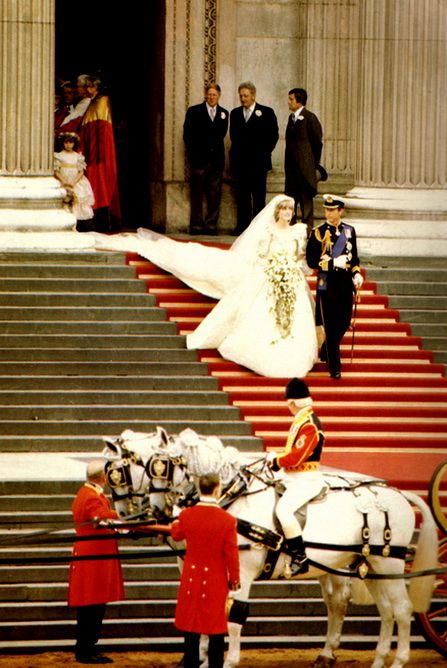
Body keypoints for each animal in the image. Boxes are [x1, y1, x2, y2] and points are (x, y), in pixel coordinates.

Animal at [102, 428, 438, 668]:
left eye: (162, 466)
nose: (153, 508)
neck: (230, 497)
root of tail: (395, 492)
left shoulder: (241, 574)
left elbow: (233, 618)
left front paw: (227, 661)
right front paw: (198, 656)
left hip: (388, 564)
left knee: (401, 609)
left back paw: (397, 660)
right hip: (370, 567)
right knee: (381, 610)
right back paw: (371, 659)